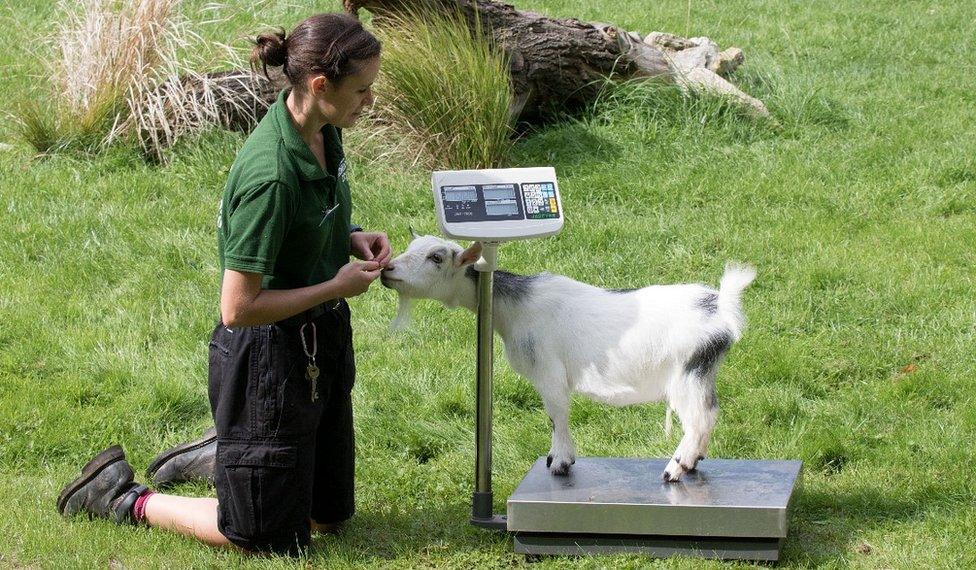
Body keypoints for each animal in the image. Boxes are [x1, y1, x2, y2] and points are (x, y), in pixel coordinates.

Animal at [380, 232, 756, 480]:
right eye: (411, 247)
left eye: (436, 257)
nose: (387, 269)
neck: (512, 309)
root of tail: (720, 307)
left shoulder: (549, 372)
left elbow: (556, 413)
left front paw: (560, 462)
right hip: (703, 372)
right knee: (709, 412)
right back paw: (693, 462)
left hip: (686, 373)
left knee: (699, 418)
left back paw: (675, 469)